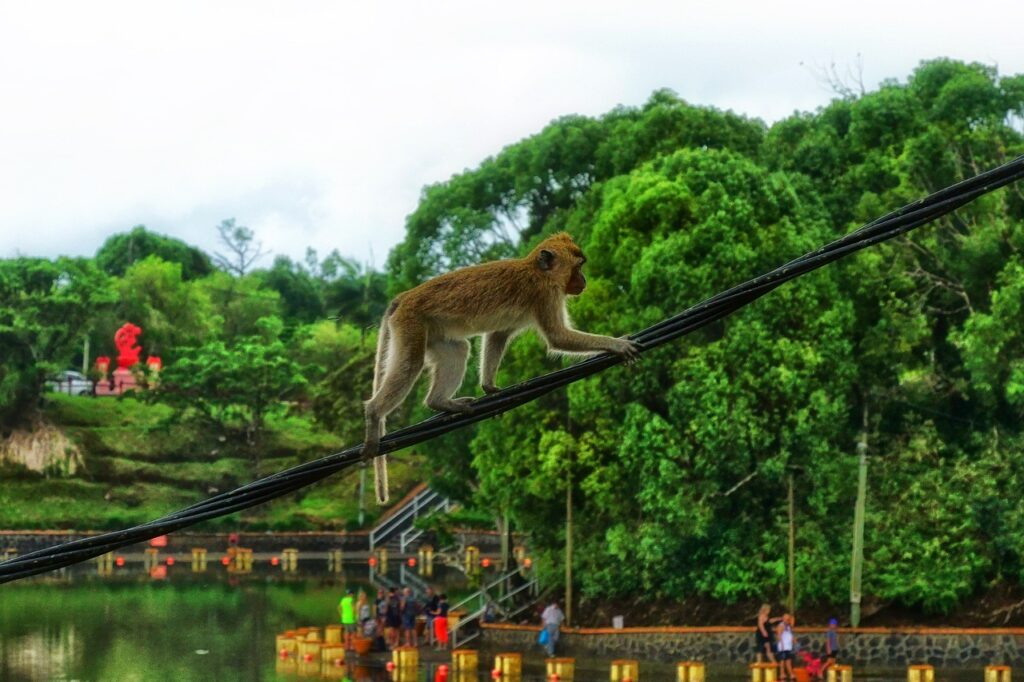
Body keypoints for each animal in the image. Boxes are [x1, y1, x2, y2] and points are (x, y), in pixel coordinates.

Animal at [364, 231, 638, 501]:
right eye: (578, 266)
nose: (584, 279)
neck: (539, 272)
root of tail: (404, 297)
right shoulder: (544, 295)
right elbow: (558, 337)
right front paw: (615, 344)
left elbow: (498, 335)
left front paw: (490, 388)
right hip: (412, 323)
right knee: (410, 363)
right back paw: (374, 414)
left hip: (432, 331)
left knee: (458, 350)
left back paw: (440, 402)